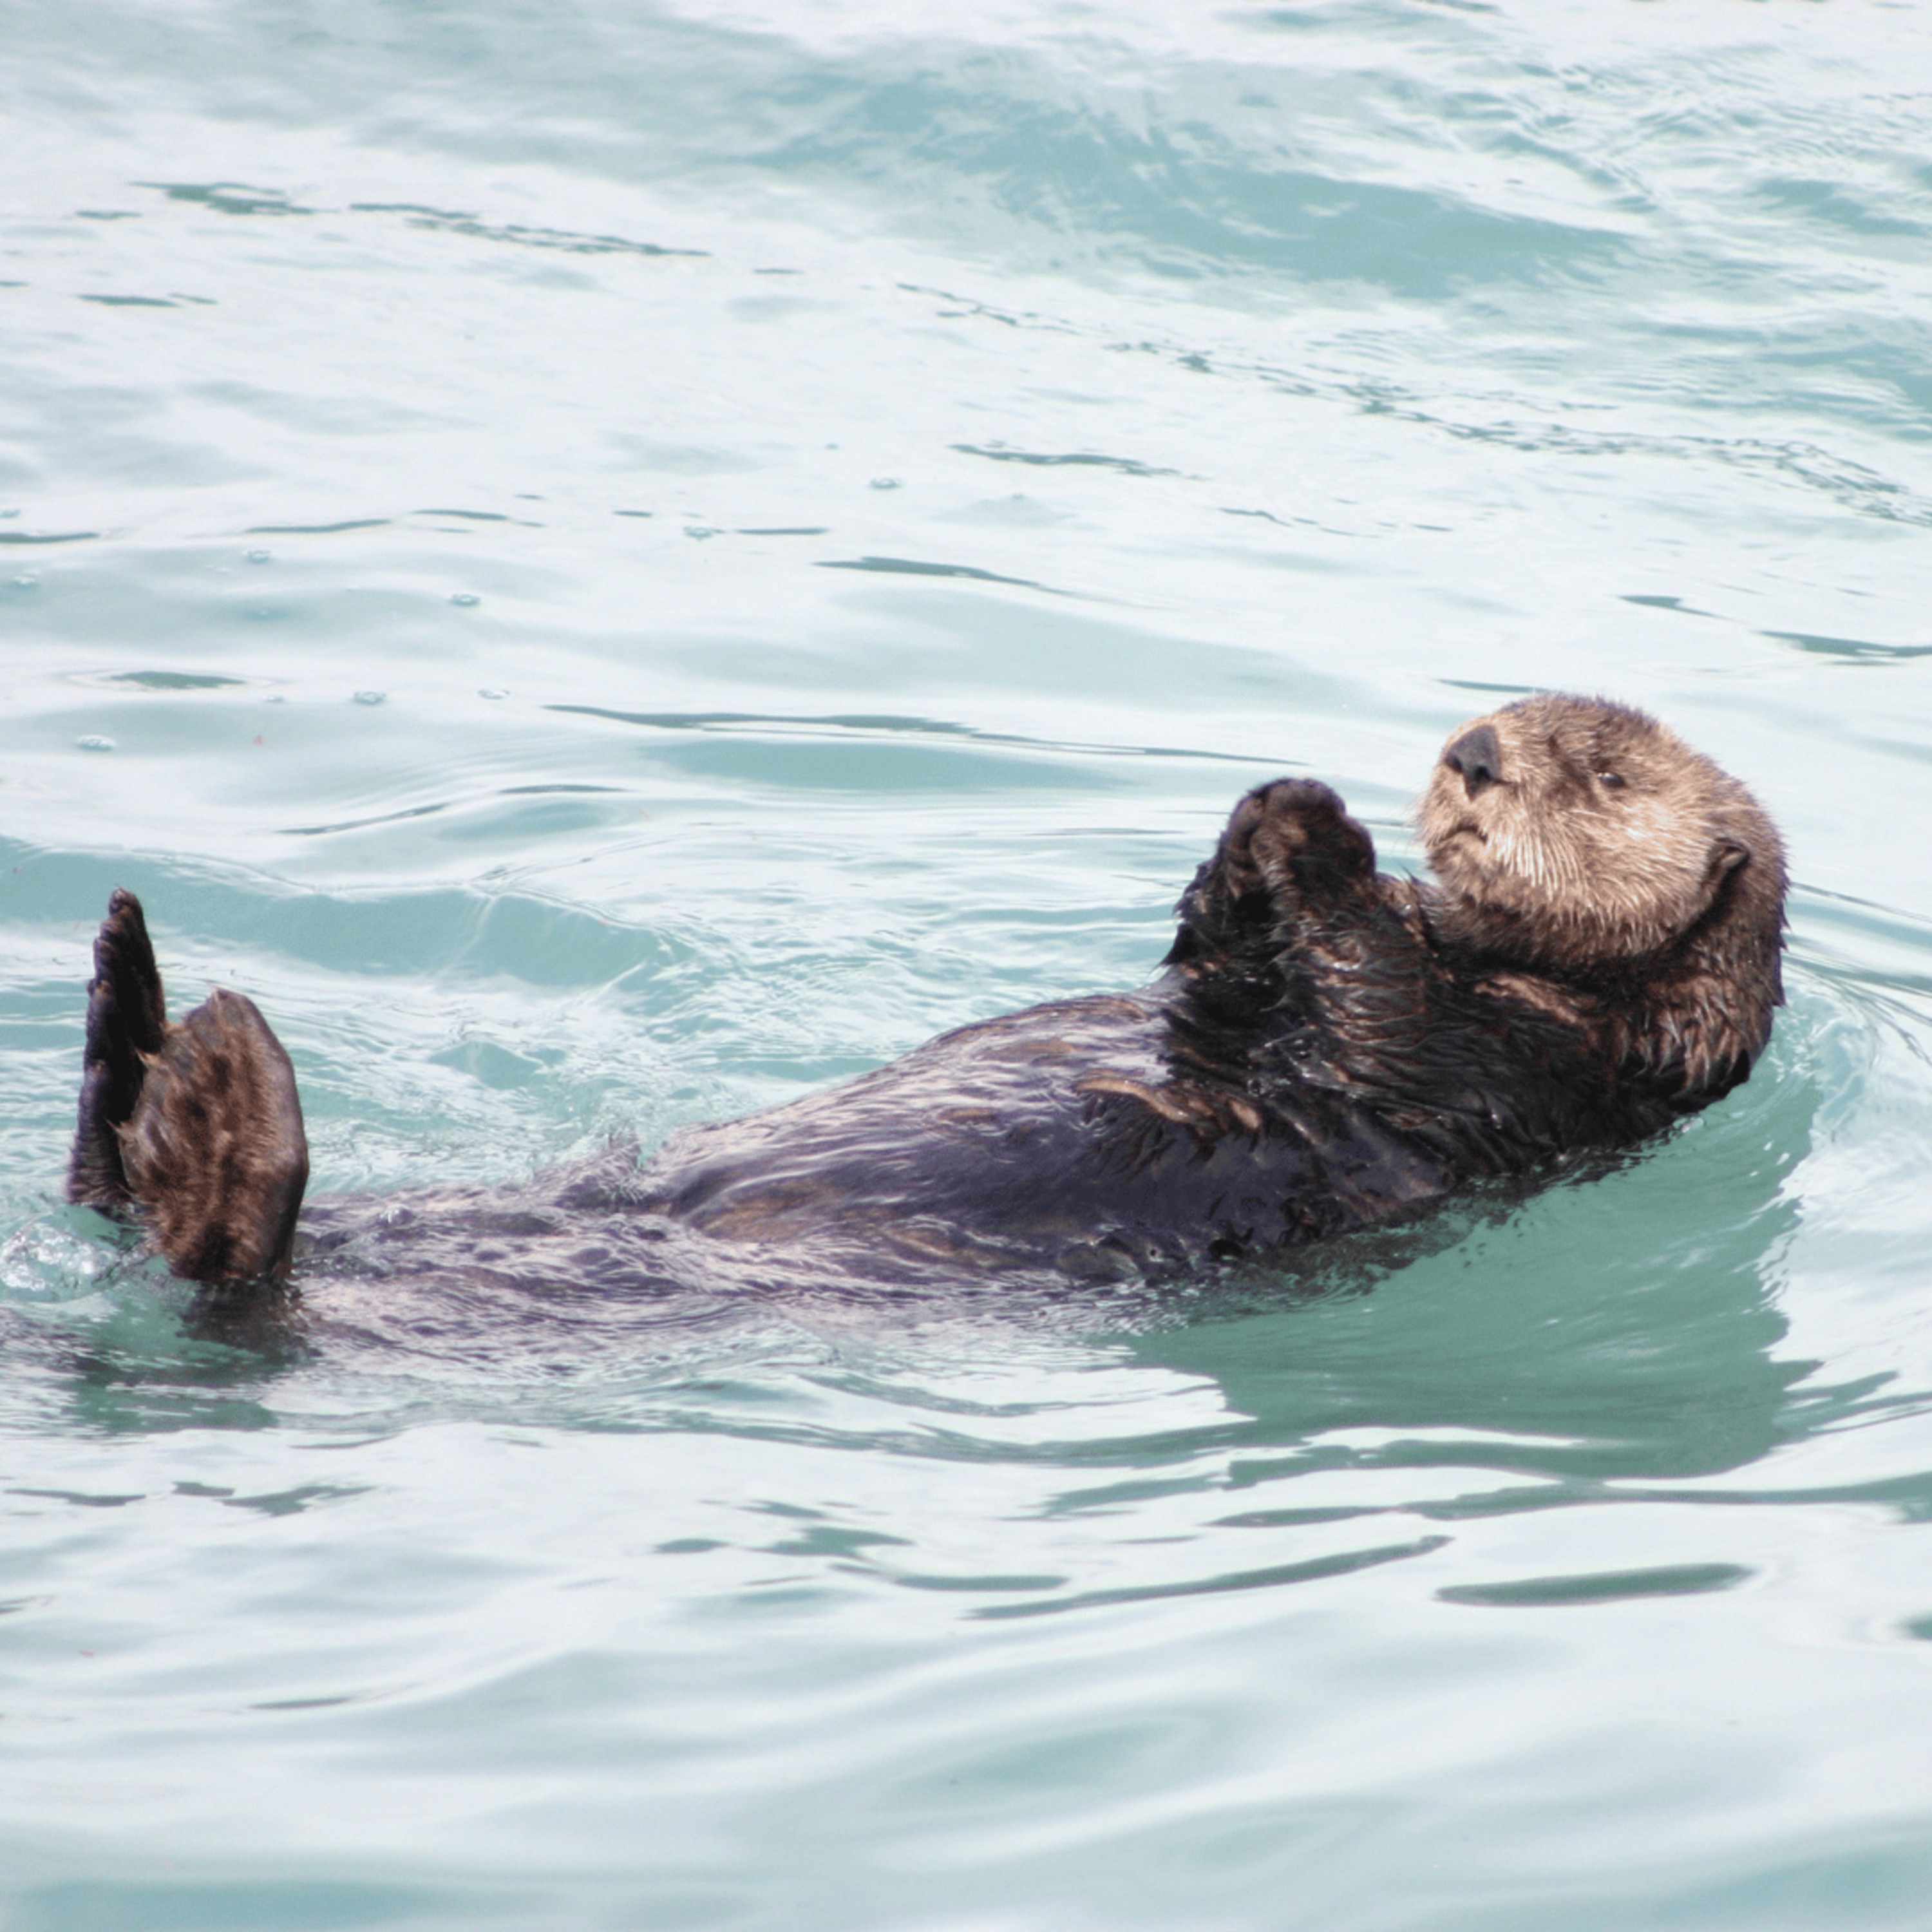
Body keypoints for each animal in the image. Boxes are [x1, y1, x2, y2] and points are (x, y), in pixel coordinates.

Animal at [64, 694, 1786, 1304]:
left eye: (1606, 772)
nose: (1470, 753)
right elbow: (1214, 975)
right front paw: (1261, 833)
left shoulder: (1541, 1070)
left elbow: (1376, 1008)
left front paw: (1315, 832)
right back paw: (135, 1022)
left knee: (235, 1273)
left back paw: (209, 1104)